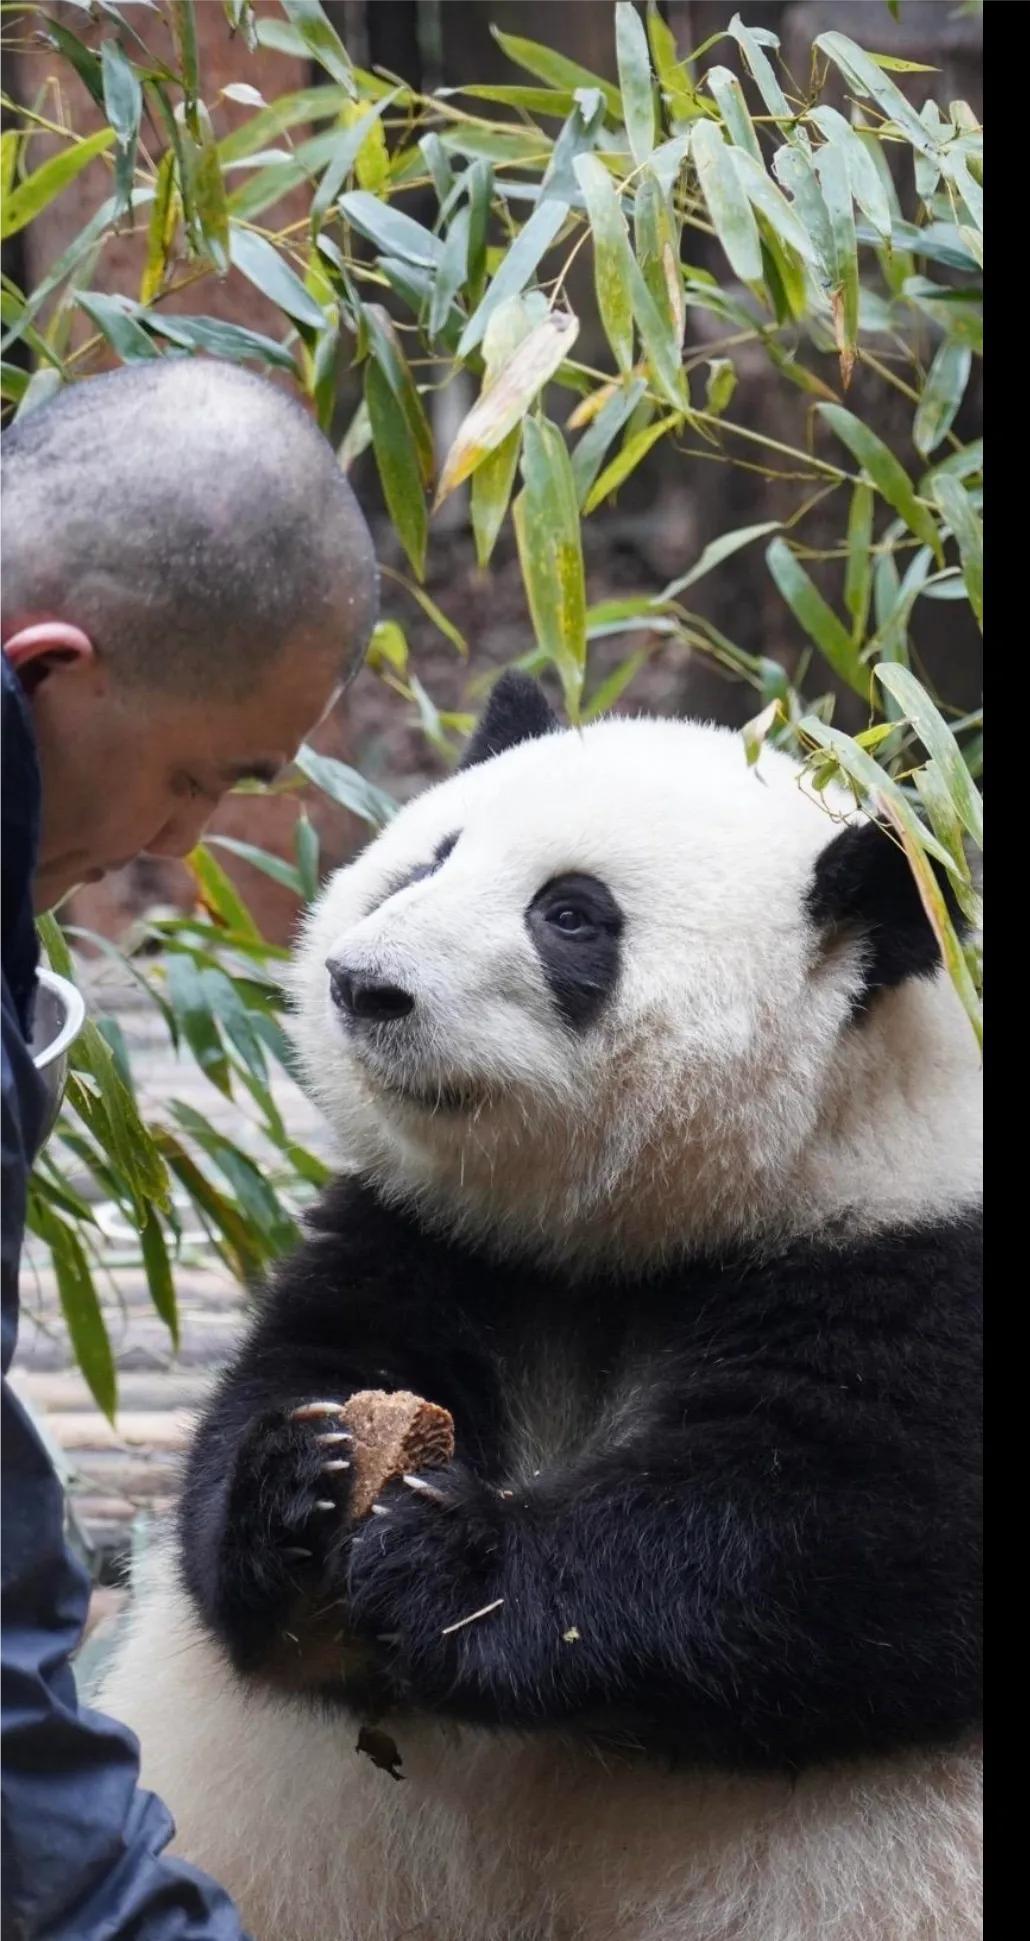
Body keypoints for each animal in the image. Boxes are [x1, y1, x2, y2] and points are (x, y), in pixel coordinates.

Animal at [96, 679, 985, 1941]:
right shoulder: (434, 1239)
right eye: (428, 860)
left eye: (570, 916)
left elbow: (832, 1539)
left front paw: (453, 1566)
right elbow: (289, 1401)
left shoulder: (914, 1263)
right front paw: (301, 1484)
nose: (364, 986)